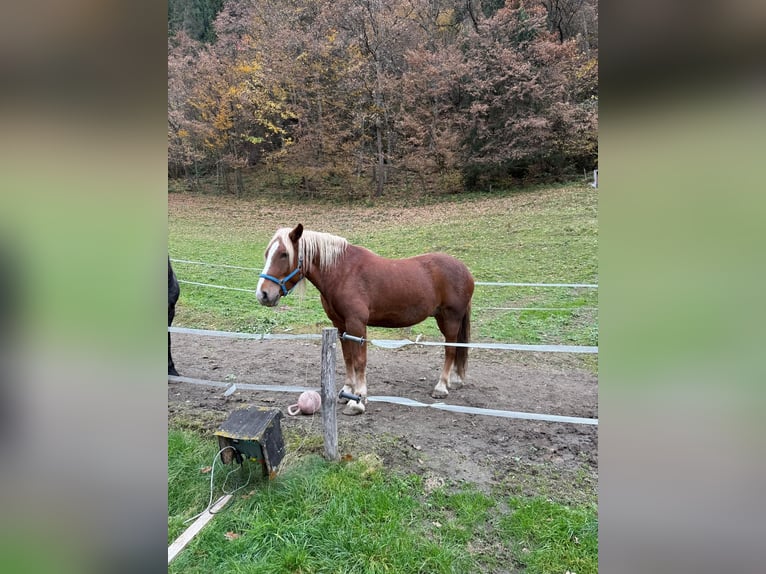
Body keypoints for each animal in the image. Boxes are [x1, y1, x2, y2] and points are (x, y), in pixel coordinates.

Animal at [256, 224, 474, 415]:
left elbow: (360, 361)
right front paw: (347, 391)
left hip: (450, 319)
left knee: (450, 350)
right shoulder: (340, 325)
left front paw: (358, 400)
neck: (342, 273)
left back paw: (441, 387)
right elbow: (348, 358)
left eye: (284, 254)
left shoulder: (357, 325)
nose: (263, 294)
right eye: (267, 253)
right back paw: (454, 380)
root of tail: (465, 270)